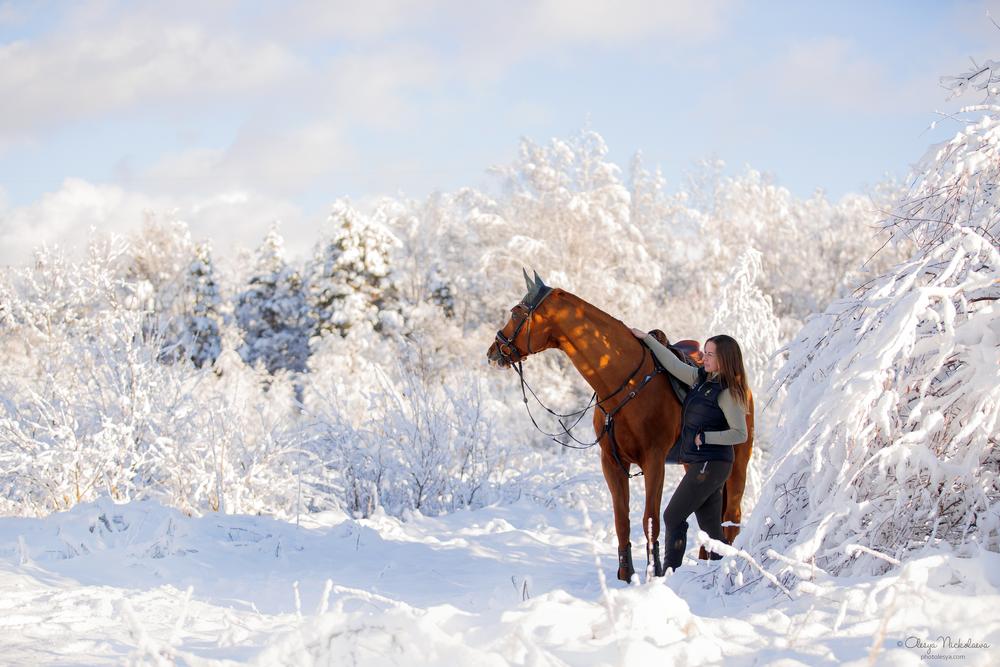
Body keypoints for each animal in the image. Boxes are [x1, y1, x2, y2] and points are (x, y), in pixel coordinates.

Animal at [486, 271, 754, 581]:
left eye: (516, 312)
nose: (493, 351)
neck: (623, 380)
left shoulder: (654, 461)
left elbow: (651, 519)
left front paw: (653, 572)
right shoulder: (611, 462)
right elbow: (621, 519)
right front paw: (626, 574)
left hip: (738, 464)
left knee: (731, 518)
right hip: (692, 464)